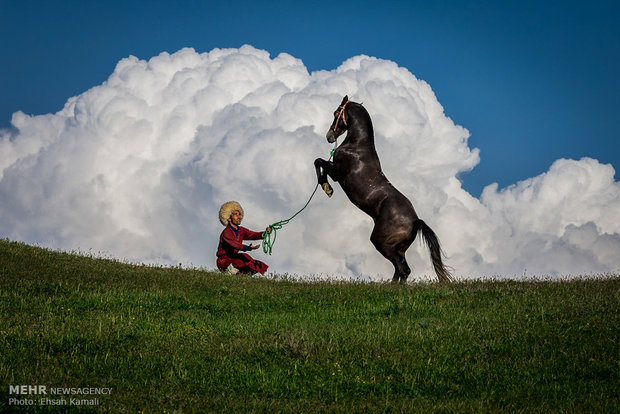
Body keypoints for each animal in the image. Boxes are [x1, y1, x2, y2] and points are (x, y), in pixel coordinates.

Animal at [314, 96, 450, 284]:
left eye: (336, 113)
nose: (329, 136)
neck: (356, 146)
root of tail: (416, 221)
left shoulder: (336, 172)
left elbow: (318, 162)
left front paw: (327, 188)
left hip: (382, 243)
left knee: (402, 269)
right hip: (397, 248)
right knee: (402, 269)